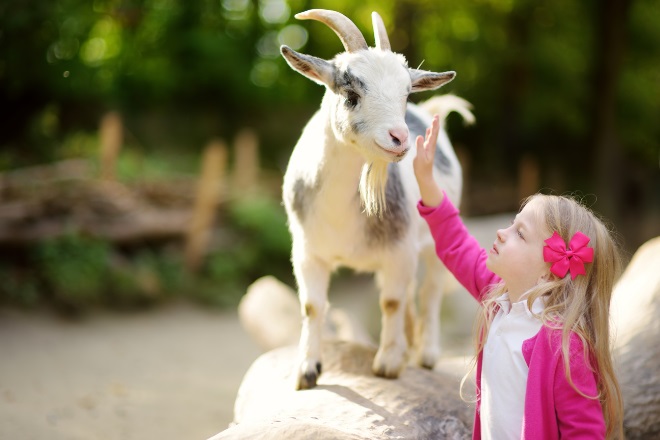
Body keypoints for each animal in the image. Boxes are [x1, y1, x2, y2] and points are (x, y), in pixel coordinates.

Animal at [282, 9, 472, 388]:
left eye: (405, 94)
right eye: (350, 93)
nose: (399, 137)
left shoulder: (399, 252)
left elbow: (392, 302)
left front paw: (388, 363)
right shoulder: (308, 253)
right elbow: (313, 306)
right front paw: (307, 371)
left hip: (432, 244)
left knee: (430, 293)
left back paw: (426, 353)